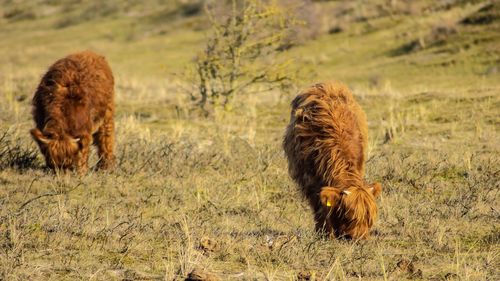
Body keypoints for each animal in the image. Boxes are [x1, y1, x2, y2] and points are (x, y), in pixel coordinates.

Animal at [284, 81, 380, 238]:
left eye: (369, 219)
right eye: (349, 217)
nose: (359, 238)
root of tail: (327, 84)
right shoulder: (310, 179)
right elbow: (319, 206)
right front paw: (325, 232)